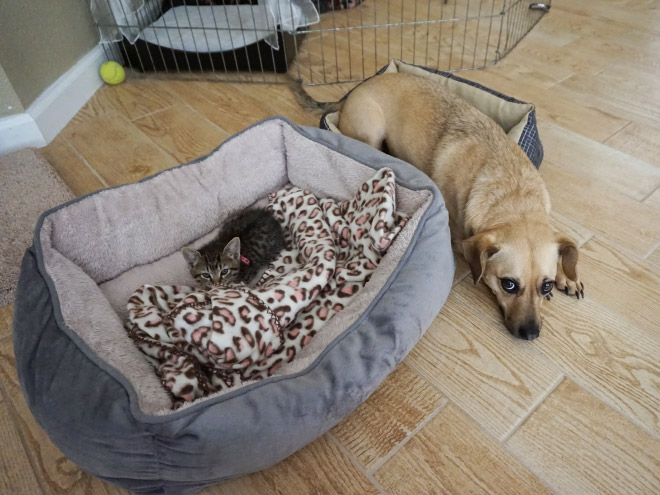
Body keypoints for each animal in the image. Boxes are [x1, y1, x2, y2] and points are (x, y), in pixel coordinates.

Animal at [294, 72, 584, 340]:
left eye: (546, 286)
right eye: (508, 285)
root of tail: (357, 89)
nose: (531, 334)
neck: (513, 194)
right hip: (371, 132)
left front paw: (567, 275)